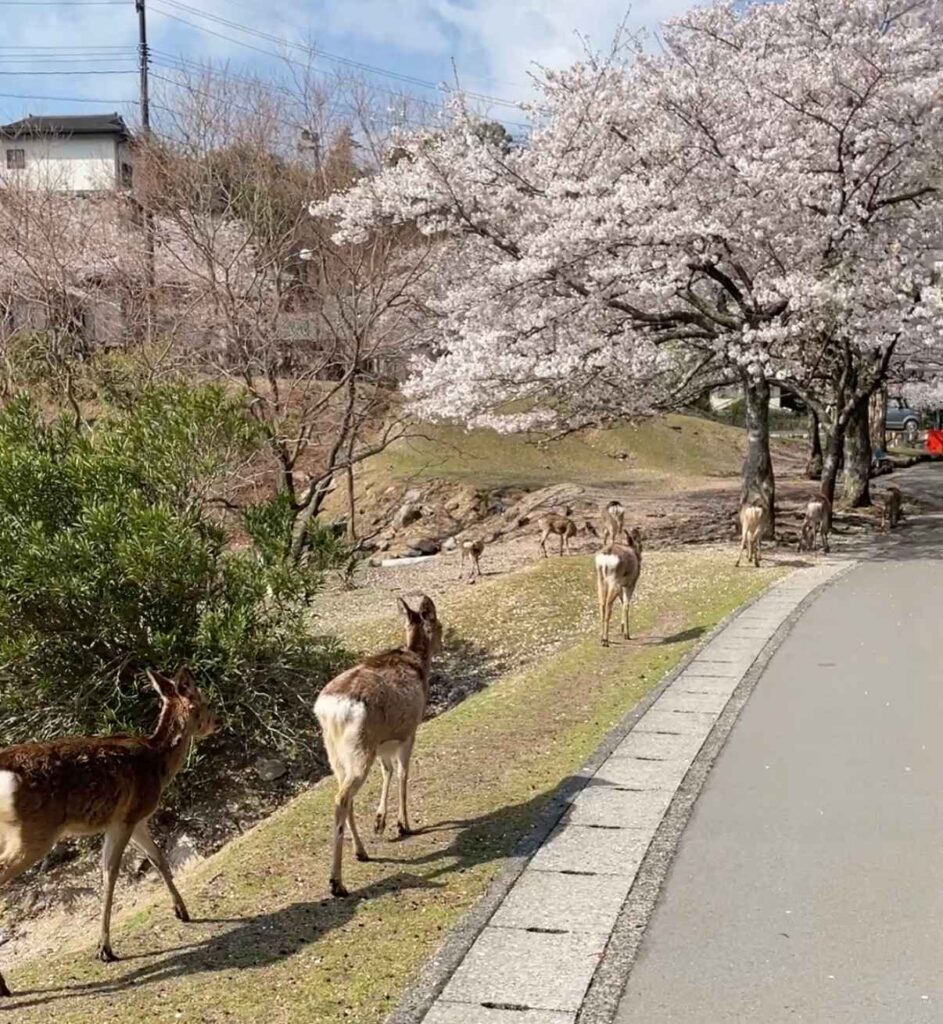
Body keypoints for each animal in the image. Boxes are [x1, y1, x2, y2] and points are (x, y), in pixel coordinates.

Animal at [0, 667, 217, 997]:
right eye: (203, 702)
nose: (217, 722)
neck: (159, 764)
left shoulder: (138, 820)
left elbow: (158, 859)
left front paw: (182, 911)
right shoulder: (125, 818)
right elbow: (111, 873)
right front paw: (105, 949)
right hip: (33, 833)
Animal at [314, 594, 442, 898]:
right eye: (441, 626)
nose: (442, 642)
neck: (418, 663)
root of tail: (330, 710)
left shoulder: (385, 741)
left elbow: (388, 771)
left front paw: (380, 821)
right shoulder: (410, 730)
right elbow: (404, 772)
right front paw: (404, 825)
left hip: (336, 754)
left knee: (345, 795)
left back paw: (361, 852)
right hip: (360, 749)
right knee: (342, 798)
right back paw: (337, 883)